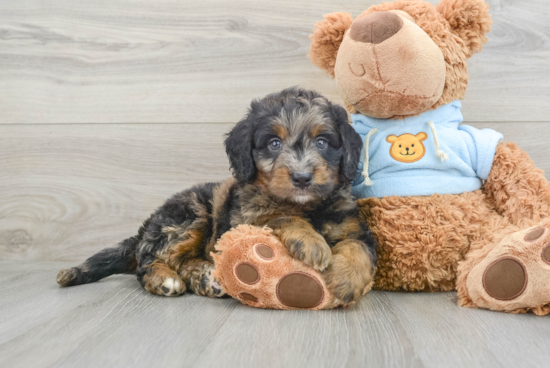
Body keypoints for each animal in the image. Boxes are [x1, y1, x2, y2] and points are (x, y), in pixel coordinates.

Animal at [57, 87, 380, 304]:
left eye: (323, 142)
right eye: (274, 143)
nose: (301, 178)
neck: (310, 207)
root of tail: (146, 226)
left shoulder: (354, 226)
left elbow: (358, 247)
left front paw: (345, 281)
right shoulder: (247, 217)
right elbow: (280, 215)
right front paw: (312, 243)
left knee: (182, 259)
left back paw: (205, 277)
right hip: (190, 214)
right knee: (148, 259)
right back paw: (165, 279)